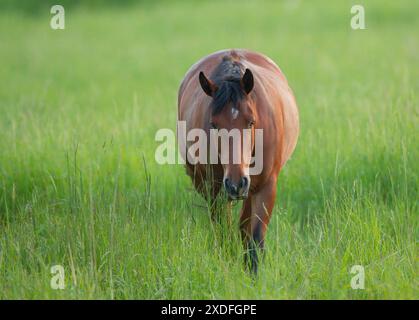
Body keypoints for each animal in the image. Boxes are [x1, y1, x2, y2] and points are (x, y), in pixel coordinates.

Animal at [179, 49, 300, 272]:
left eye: (251, 122)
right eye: (214, 124)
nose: (236, 184)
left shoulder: (266, 187)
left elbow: (255, 238)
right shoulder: (216, 191)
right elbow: (223, 234)